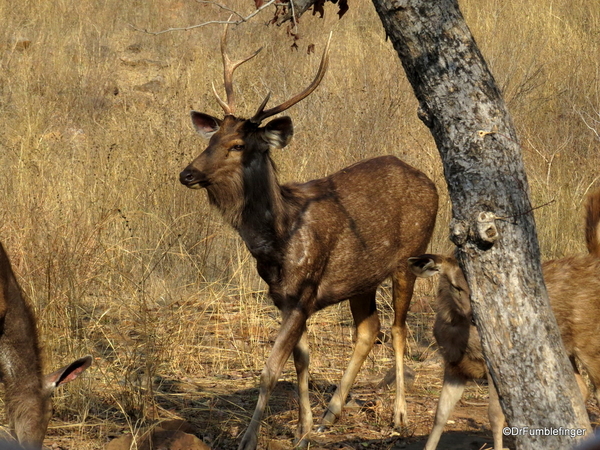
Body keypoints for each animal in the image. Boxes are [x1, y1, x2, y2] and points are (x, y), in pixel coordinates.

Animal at [180, 23, 438, 450]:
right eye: (211, 140)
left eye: (238, 145)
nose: (187, 173)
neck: (277, 239)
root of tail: (430, 182)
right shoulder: (284, 298)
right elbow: (301, 360)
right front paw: (303, 428)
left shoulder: (304, 292)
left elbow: (270, 369)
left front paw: (248, 438)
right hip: (361, 279)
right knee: (369, 329)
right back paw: (330, 415)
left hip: (411, 257)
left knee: (398, 329)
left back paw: (399, 415)